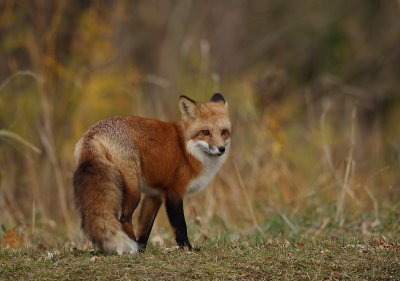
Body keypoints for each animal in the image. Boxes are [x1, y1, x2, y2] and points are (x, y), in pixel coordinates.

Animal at [72, 93, 231, 253]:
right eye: (205, 132)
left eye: (224, 132)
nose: (221, 149)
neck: (187, 150)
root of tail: (92, 134)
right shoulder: (174, 192)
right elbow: (180, 226)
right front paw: (187, 248)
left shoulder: (155, 195)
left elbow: (145, 226)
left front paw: (142, 248)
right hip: (134, 191)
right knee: (124, 217)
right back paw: (132, 246)